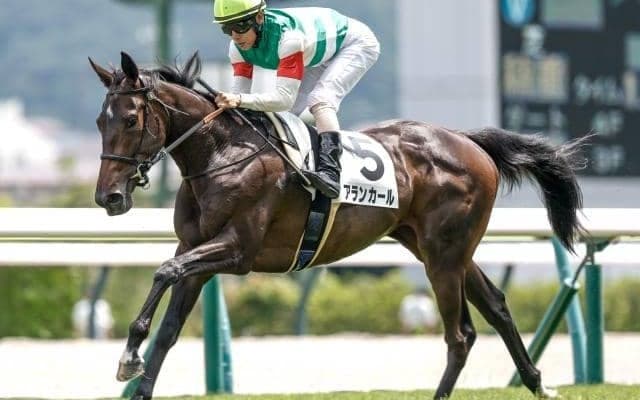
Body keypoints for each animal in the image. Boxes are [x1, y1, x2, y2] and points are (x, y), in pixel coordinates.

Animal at [89, 51, 585, 400]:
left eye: (130, 119)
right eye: (100, 121)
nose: (108, 197)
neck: (220, 155)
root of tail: (469, 141)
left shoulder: (238, 250)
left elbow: (164, 272)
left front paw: (128, 356)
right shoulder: (196, 250)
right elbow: (169, 326)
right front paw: (139, 374)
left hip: (443, 256)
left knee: (460, 334)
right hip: (438, 248)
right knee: (497, 307)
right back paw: (538, 383)